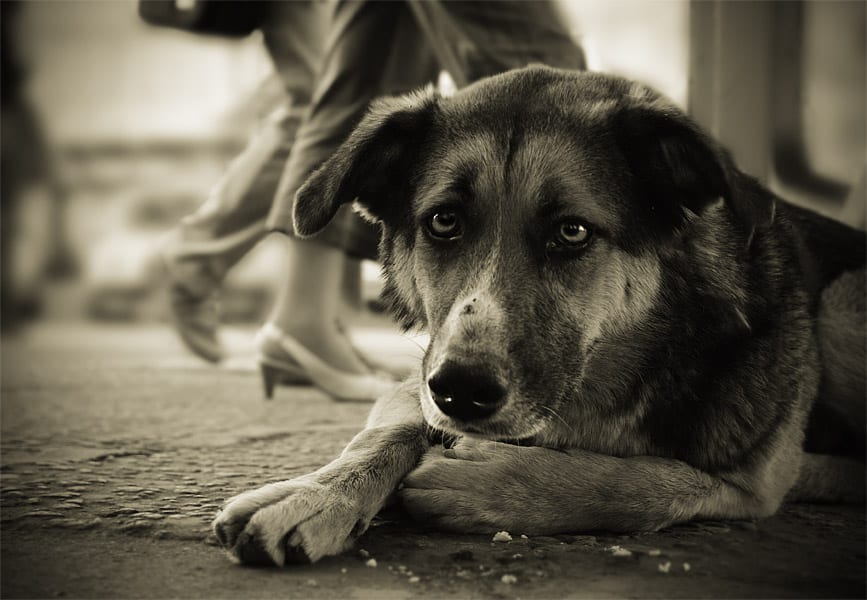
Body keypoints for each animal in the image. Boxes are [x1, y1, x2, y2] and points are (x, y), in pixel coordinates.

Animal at [212, 67, 867, 568]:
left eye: (572, 232)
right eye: (443, 221)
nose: (461, 391)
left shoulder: (753, 481)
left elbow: (654, 483)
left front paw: (493, 484)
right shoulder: (418, 379)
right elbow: (385, 432)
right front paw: (314, 494)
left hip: (841, 306)